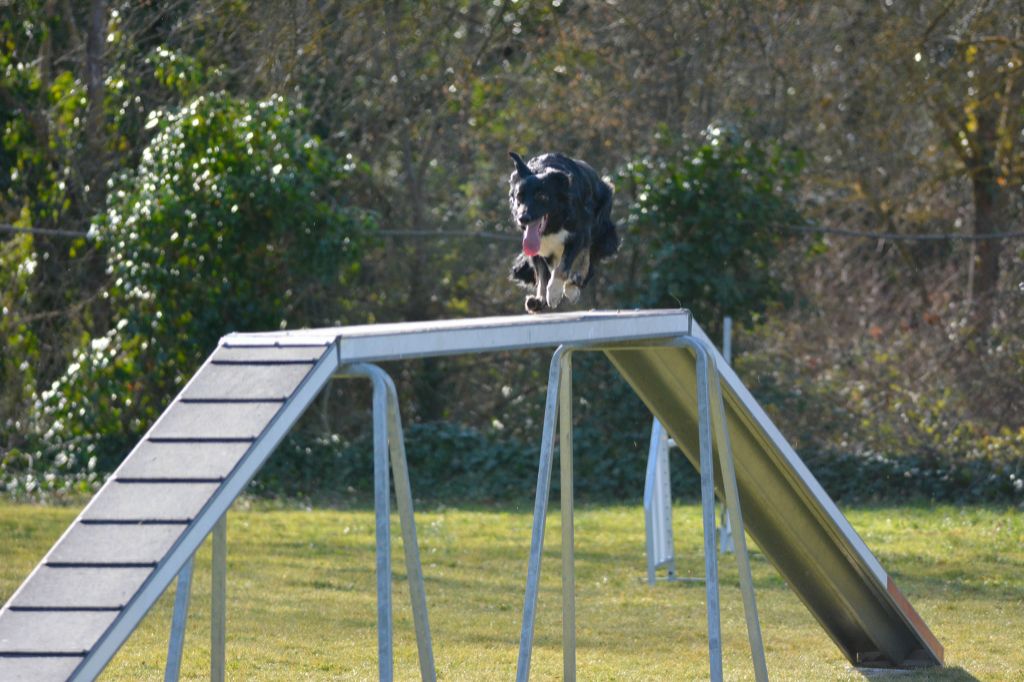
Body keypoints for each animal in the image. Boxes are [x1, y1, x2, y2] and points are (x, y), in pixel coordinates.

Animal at [507, 150, 618, 311]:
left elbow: (564, 266)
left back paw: (574, 284)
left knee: (588, 259)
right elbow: (545, 273)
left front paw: (554, 292)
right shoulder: (540, 249)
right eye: (518, 197)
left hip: (601, 233)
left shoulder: (579, 235)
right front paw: (544, 296)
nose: (523, 218)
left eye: (542, 196)